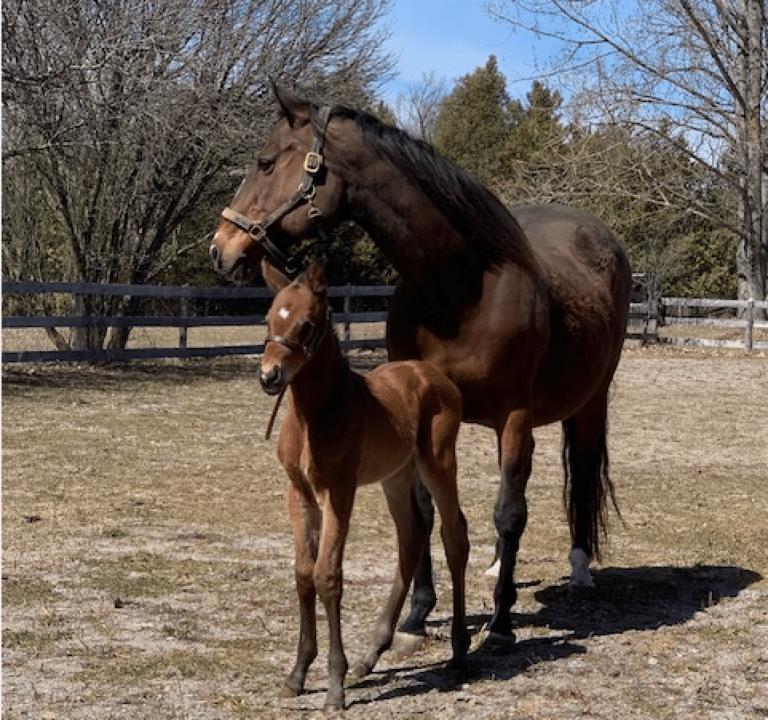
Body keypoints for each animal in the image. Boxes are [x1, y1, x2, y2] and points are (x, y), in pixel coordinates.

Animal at [260, 260, 472, 708]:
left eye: (306, 325)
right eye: (268, 319)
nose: (269, 376)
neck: (313, 416)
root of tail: (433, 374)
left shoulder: (339, 491)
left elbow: (327, 575)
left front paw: (334, 687)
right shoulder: (298, 492)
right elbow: (303, 572)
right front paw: (297, 673)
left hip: (438, 464)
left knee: (454, 536)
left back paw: (460, 653)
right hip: (396, 476)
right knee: (411, 537)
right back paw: (371, 654)